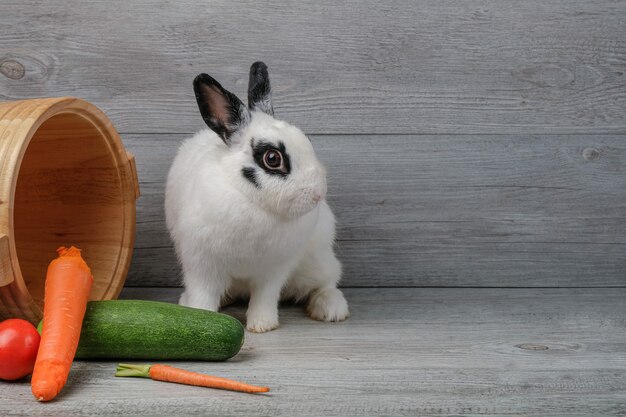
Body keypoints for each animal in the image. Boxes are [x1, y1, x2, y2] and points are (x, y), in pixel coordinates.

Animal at [163, 61, 348, 332]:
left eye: (307, 141)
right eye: (272, 158)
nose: (317, 194)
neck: (252, 203)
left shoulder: (274, 269)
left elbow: (265, 296)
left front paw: (262, 325)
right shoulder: (202, 264)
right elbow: (203, 295)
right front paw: (200, 318)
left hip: (317, 260)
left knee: (327, 281)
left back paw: (330, 308)